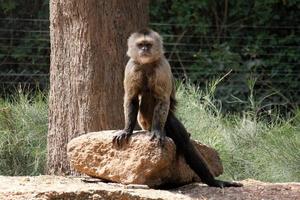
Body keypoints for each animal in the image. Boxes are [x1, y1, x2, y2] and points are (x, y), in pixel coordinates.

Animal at [112, 27, 241, 188]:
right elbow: (132, 99)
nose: (144, 50)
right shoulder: (132, 67)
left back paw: (213, 181)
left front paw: (157, 131)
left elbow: (162, 100)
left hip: (166, 121)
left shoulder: (162, 66)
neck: (147, 64)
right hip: (145, 123)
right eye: (140, 44)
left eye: (148, 45)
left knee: (183, 140)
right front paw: (127, 130)